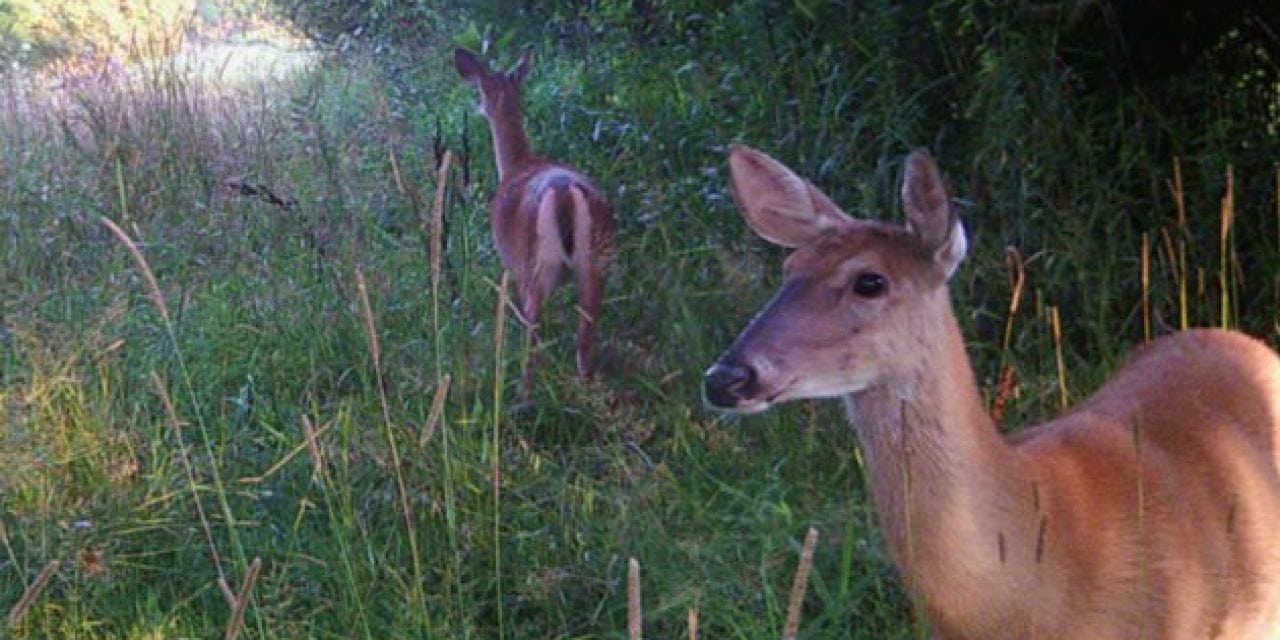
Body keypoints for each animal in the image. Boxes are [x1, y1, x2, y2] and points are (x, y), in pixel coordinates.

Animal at [453, 47, 611, 396]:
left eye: (481, 89)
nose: (478, 108)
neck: (517, 164)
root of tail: (565, 195)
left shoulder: (511, 262)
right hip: (597, 262)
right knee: (586, 335)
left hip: (534, 265)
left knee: (533, 331)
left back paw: (523, 393)